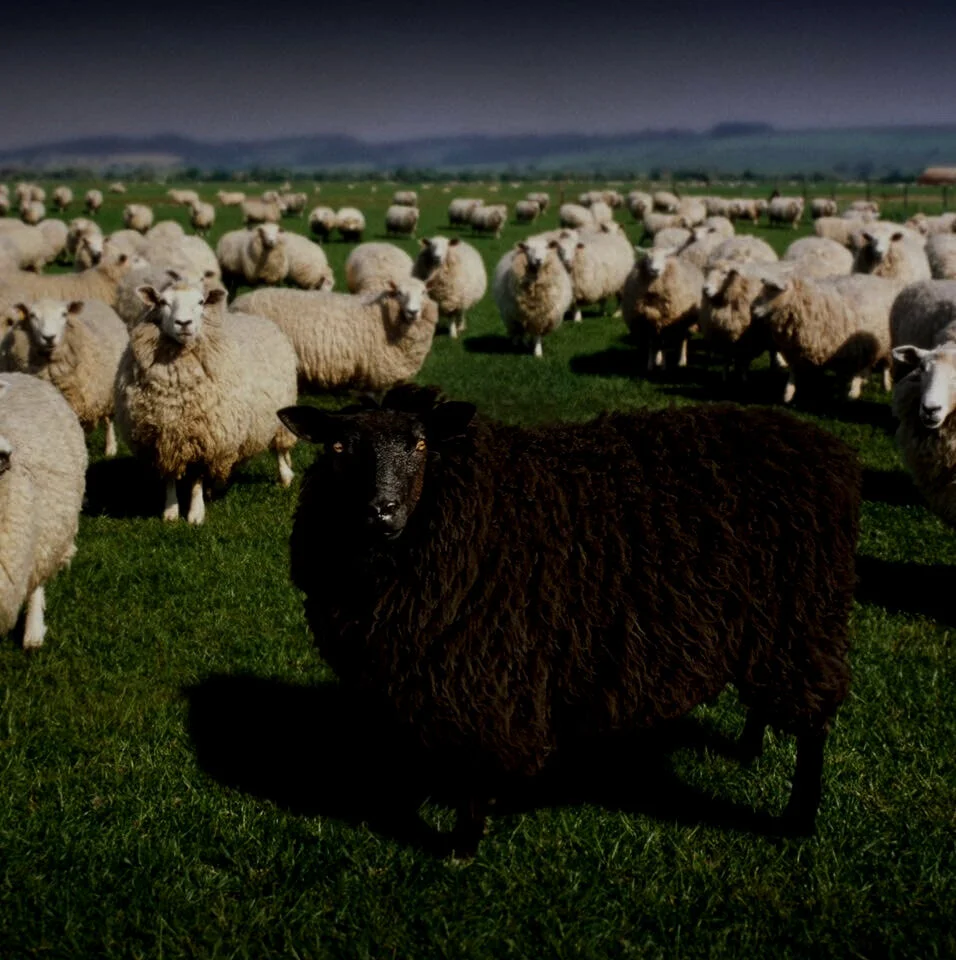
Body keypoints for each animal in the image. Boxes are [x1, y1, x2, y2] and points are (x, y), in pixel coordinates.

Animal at [1, 299, 127, 456]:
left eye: (64, 314)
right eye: (32, 315)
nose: (49, 337)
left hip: (108, 391)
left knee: (109, 420)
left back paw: (110, 448)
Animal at [115, 282, 298, 524]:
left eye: (200, 302)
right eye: (163, 302)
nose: (184, 323)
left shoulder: (205, 438)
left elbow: (196, 478)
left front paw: (195, 513)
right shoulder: (163, 439)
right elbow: (170, 476)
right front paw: (171, 511)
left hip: (279, 418)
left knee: (280, 449)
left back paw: (285, 476)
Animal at [277, 383, 861, 854]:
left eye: (421, 445)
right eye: (338, 447)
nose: (382, 510)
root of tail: (823, 447)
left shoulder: (487, 670)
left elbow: (475, 762)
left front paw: (462, 843)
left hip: (805, 616)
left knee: (814, 725)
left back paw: (799, 818)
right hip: (768, 624)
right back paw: (748, 749)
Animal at [751, 272, 899, 401]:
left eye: (774, 290)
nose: (753, 311)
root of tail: (885, 281)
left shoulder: (857, 349)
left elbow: (855, 372)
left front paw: (853, 393)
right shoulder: (797, 351)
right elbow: (794, 372)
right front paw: (788, 393)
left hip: (885, 344)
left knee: (885, 366)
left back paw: (885, 385)